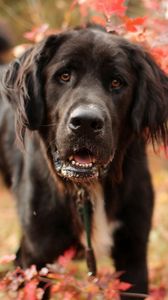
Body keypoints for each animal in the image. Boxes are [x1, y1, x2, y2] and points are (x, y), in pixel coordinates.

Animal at [0, 25, 167, 298]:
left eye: (116, 82)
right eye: (64, 76)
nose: (86, 122)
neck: (86, 189)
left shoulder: (133, 253)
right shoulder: (38, 256)